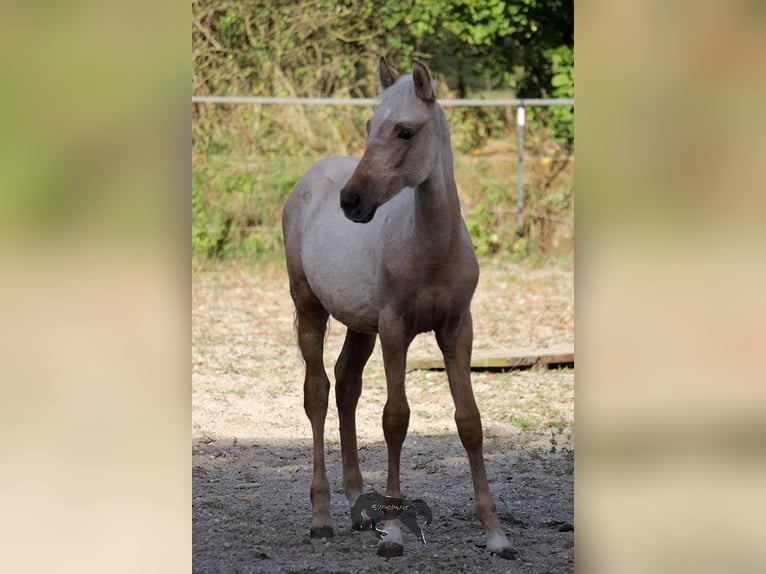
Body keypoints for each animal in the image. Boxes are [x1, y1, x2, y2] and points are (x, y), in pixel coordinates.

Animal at [282, 56, 516, 560]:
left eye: (405, 131)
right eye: (371, 126)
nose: (352, 201)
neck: (431, 248)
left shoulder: (457, 329)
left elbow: (469, 421)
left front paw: (496, 534)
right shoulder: (395, 330)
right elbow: (395, 419)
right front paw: (392, 533)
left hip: (359, 325)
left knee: (346, 384)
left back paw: (357, 506)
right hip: (310, 308)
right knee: (317, 392)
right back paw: (322, 518)